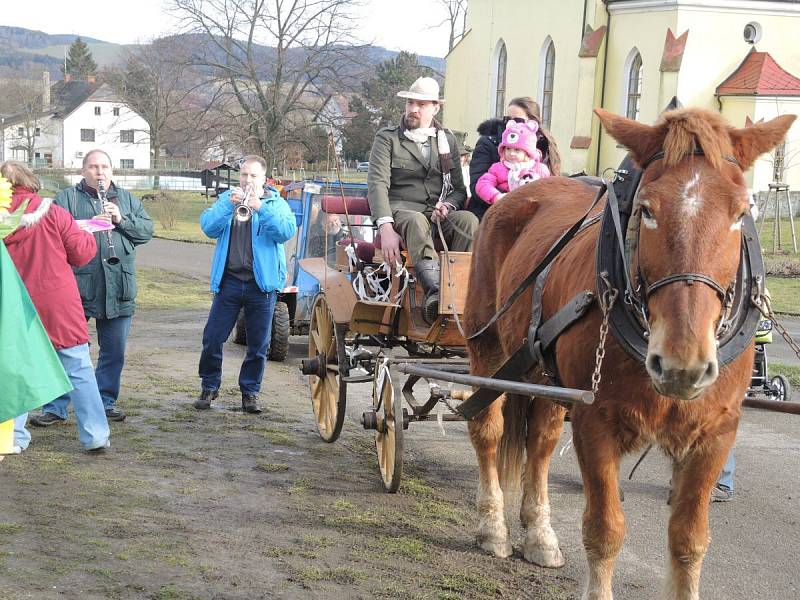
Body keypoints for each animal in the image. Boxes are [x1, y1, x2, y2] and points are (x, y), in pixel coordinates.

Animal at [462, 108, 792, 600]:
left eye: (740, 214)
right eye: (646, 210)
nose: (682, 364)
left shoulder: (716, 434)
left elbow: (690, 541)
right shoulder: (595, 420)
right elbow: (605, 531)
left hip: (543, 372)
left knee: (540, 443)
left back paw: (539, 534)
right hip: (487, 348)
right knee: (487, 429)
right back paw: (492, 527)